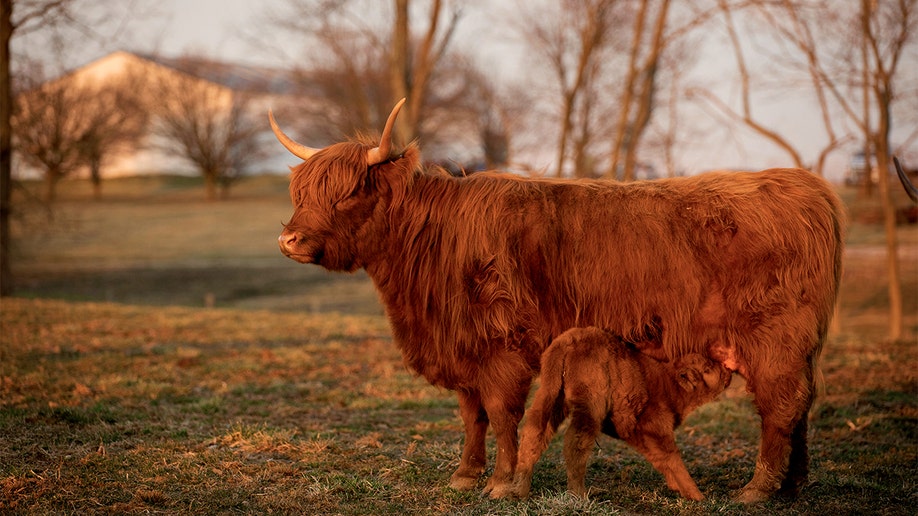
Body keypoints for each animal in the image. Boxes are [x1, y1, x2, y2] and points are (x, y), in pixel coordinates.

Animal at [510, 326, 732, 500]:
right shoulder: (655, 427)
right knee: (577, 441)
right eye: (707, 368)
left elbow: (661, 459)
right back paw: (578, 495)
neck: (670, 381)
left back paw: (519, 491)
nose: (727, 371)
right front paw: (697, 495)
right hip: (589, 405)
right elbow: (672, 457)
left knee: (535, 432)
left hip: (552, 396)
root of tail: (568, 341)